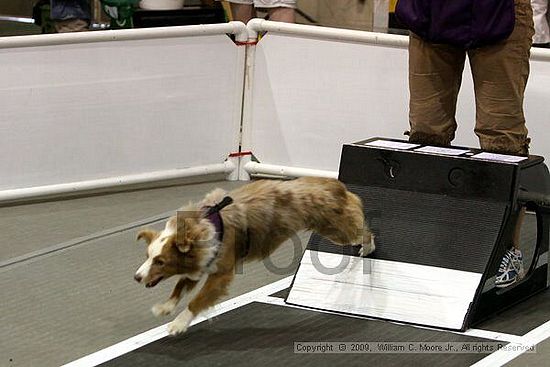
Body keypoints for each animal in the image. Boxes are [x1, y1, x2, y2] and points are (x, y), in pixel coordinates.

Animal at [134, 178, 376, 336]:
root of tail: (333, 184)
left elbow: (198, 300)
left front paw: (179, 323)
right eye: (147, 256)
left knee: (360, 226)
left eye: (160, 262)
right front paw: (165, 307)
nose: (136, 277)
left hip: (336, 230)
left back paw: (368, 245)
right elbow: (180, 286)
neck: (200, 226)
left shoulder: (221, 274)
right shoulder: (202, 263)